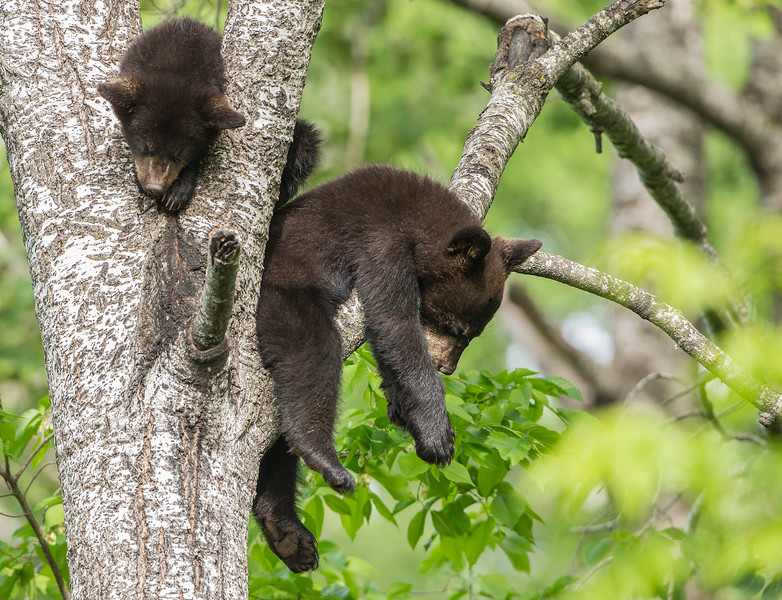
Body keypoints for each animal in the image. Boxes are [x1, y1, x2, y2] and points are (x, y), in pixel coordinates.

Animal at [253, 165, 542, 572]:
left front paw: (404, 411)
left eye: (474, 334)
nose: (447, 366)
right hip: (281, 298)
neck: (415, 215)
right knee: (311, 356)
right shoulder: (380, 242)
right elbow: (394, 323)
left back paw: (287, 533)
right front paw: (438, 436)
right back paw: (324, 459)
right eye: (457, 328)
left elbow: (388, 347)